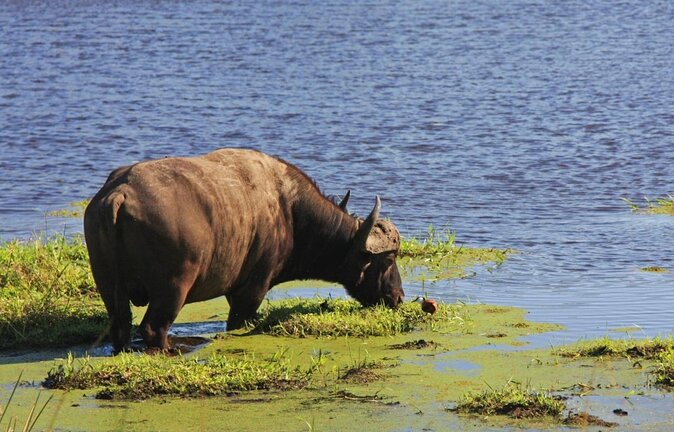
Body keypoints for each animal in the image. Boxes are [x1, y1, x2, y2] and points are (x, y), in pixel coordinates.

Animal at [81, 148, 402, 352]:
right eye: (388, 260)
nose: (398, 296)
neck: (290, 212)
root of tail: (119, 194)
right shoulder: (251, 290)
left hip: (108, 285)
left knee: (121, 326)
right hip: (172, 289)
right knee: (152, 329)